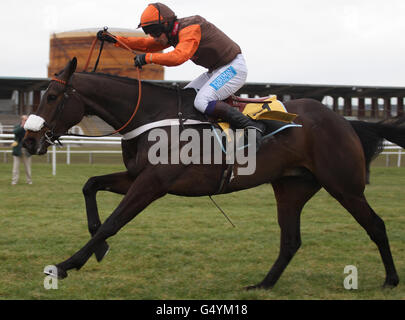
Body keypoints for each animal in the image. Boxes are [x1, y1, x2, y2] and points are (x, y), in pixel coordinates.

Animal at [23, 58, 402, 290]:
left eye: (52, 96)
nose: (28, 140)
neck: (151, 116)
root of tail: (345, 121)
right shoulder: (137, 176)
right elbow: (90, 185)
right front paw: (97, 248)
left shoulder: (152, 183)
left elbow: (114, 222)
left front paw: (66, 264)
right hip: (291, 186)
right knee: (291, 239)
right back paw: (263, 285)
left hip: (344, 185)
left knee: (376, 225)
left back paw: (391, 280)